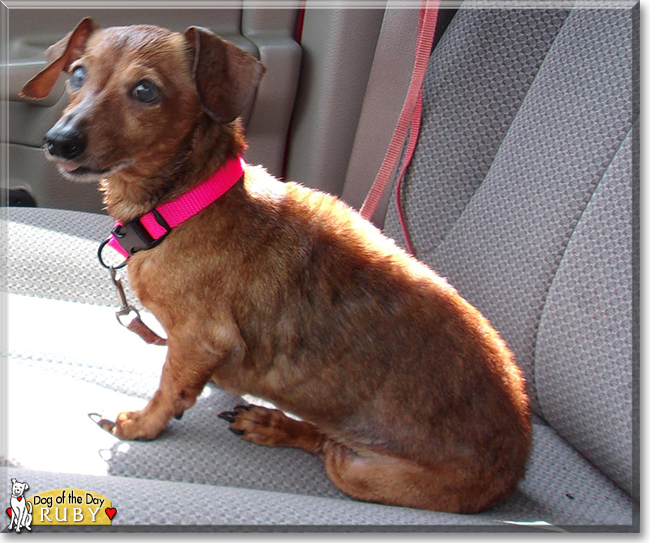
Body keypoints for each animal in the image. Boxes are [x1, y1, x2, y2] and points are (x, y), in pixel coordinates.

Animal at [21, 18, 532, 516]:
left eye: (146, 90)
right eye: (77, 75)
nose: (58, 141)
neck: (186, 202)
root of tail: (518, 463)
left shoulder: (198, 338)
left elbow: (169, 389)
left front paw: (140, 424)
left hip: (364, 472)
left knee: (329, 448)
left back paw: (277, 426)